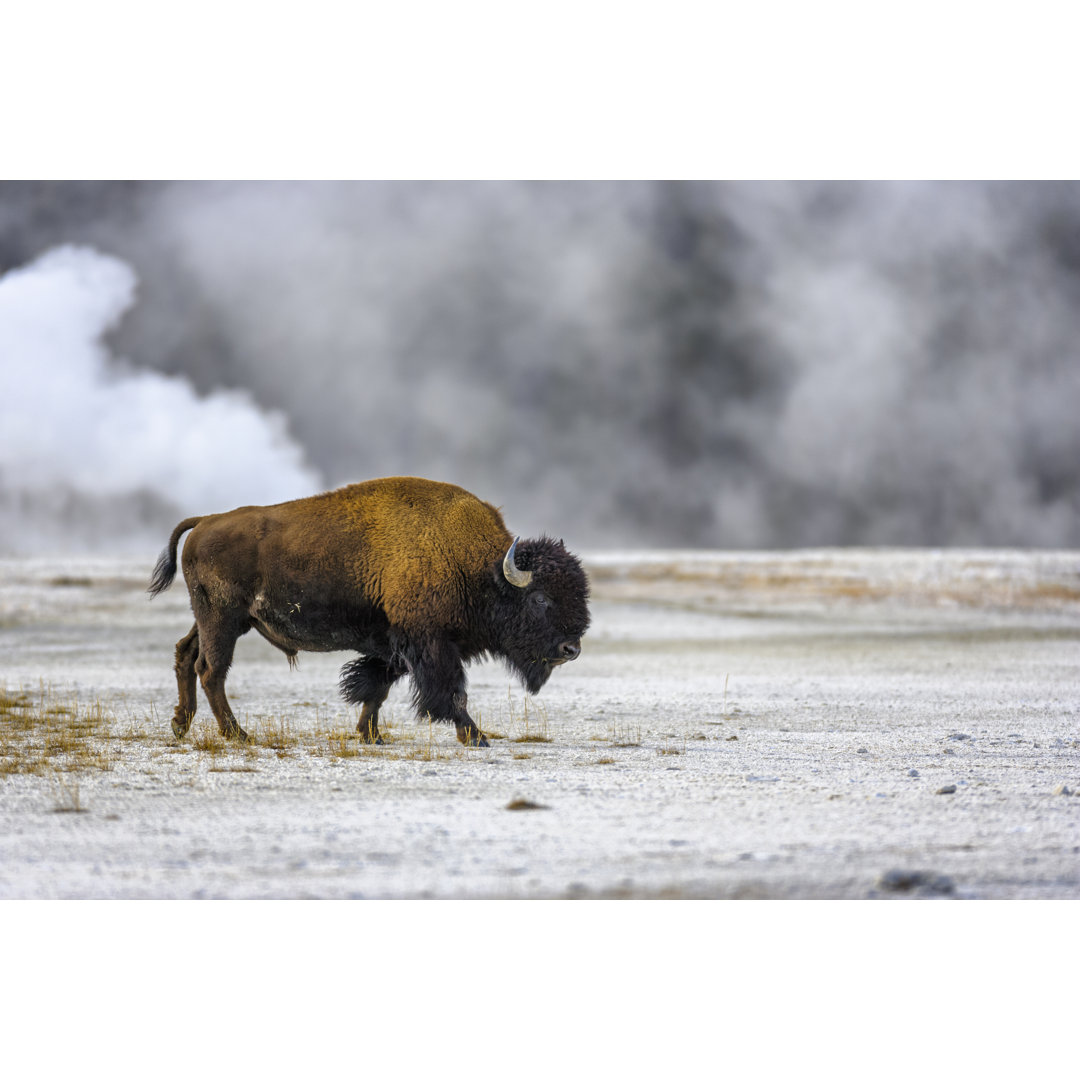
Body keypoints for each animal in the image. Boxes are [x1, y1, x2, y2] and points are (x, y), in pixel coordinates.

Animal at [146, 477, 591, 747]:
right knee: (211, 670)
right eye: (540, 598)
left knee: (186, 654)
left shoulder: (392, 643)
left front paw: (370, 735)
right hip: (222, 620)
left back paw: (181, 725)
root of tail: (206, 521)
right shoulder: (429, 644)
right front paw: (475, 736)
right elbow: (451, 693)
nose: (571, 649)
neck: (476, 567)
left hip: (217, 620)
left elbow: (376, 688)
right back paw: (237, 734)